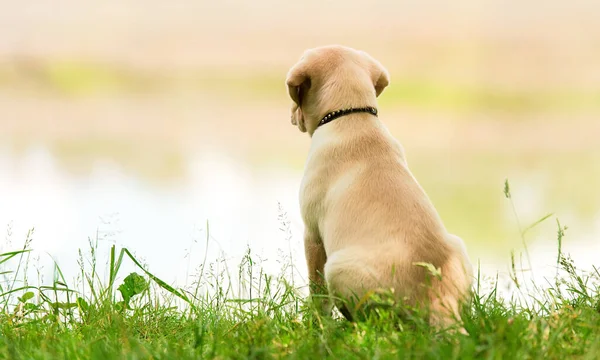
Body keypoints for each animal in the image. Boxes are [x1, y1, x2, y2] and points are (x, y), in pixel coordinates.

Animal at [288, 45, 474, 332]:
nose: (290, 116)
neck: (352, 114)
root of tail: (437, 299)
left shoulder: (313, 234)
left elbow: (317, 292)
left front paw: (316, 324)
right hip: (459, 248)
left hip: (338, 266)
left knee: (373, 321)